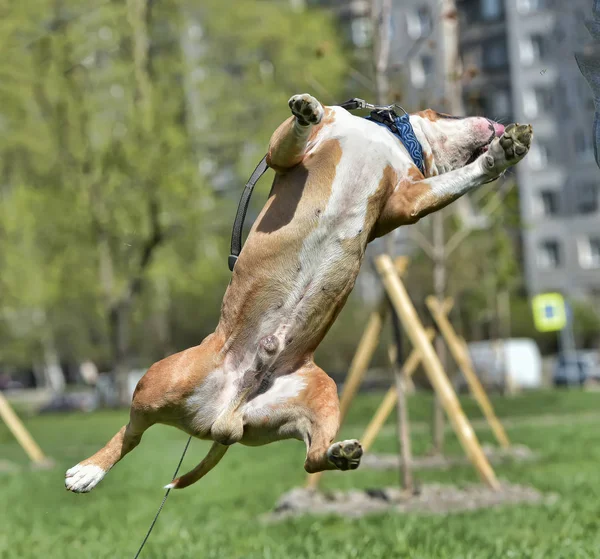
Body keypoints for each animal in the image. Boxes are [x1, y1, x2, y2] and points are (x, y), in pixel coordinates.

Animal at [65, 93, 532, 494]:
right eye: (450, 111)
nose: (493, 119)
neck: (392, 138)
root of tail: (224, 416)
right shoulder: (286, 156)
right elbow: (293, 134)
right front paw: (306, 109)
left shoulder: (408, 198)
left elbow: (459, 179)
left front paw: (502, 155)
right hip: (158, 381)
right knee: (131, 432)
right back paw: (88, 471)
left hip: (317, 395)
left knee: (310, 459)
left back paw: (341, 453)